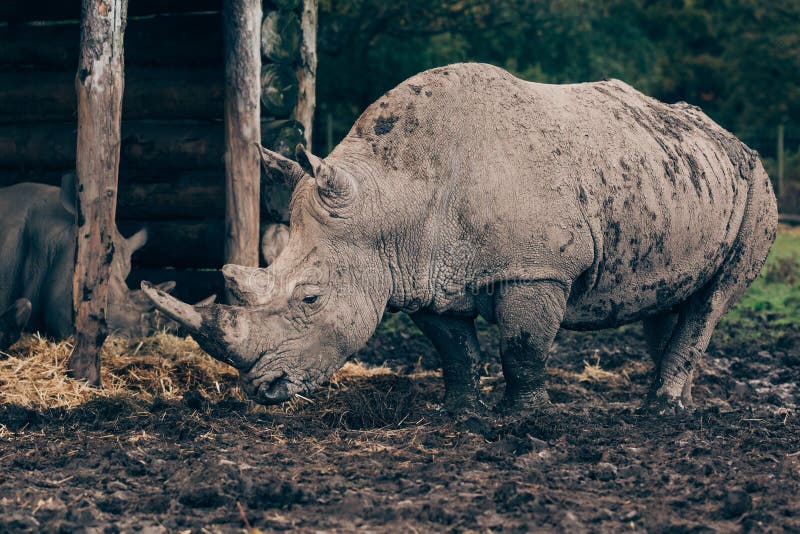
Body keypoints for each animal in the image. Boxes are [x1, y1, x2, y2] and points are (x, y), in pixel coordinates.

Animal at [144, 63, 777, 415]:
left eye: (312, 299)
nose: (263, 389)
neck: (391, 197)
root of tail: (730, 138)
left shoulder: (534, 267)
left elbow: (522, 347)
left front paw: (525, 420)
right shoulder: (423, 270)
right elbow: (455, 349)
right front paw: (458, 413)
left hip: (759, 187)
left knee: (715, 298)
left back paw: (661, 413)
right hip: (682, 176)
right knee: (671, 295)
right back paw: (665, 404)